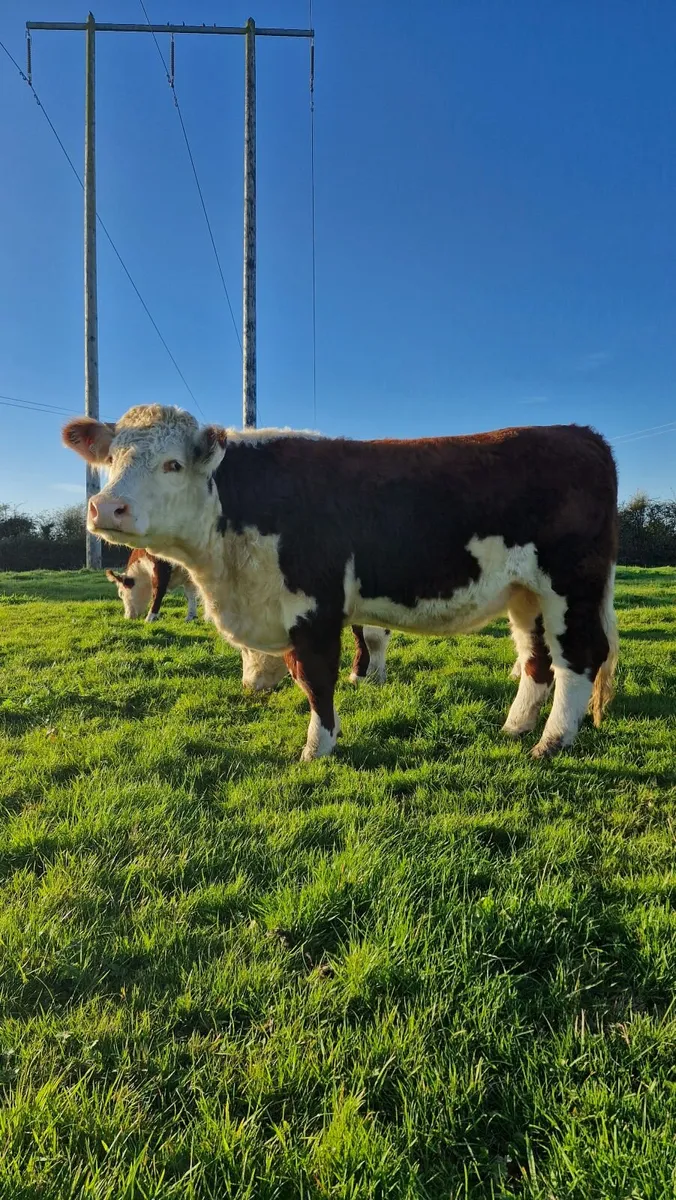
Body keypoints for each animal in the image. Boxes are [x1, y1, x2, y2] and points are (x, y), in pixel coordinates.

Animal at [63, 406, 618, 762]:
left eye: (172, 464)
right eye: (111, 460)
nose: (106, 508)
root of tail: (582, 434)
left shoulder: (314, 606)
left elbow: (315, 678)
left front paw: (318, 748)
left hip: (570, 587)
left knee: (578, 658)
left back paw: (550, 742)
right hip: (526, 595)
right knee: (537, 658)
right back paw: (516, 726)